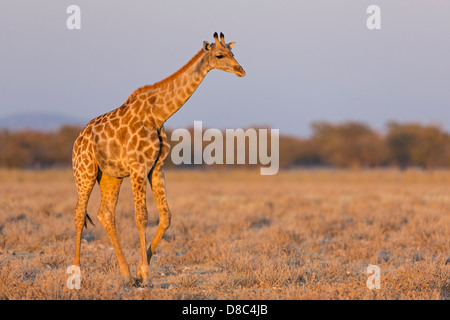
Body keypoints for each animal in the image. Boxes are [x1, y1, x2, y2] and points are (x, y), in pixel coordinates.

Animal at [72, 31, 246, 282]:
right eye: (220, 55)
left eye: (233, 52)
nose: (241, 70)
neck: (158, 114)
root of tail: (77, 140)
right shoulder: (138, 166)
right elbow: (141, 216)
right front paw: (145, 271)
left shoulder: (157, 167)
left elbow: (166, 216)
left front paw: (139, 269)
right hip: (85, 171)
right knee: (79, 213)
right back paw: (76, 270)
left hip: (110, 176)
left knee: (105, 214)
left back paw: (125, 272)